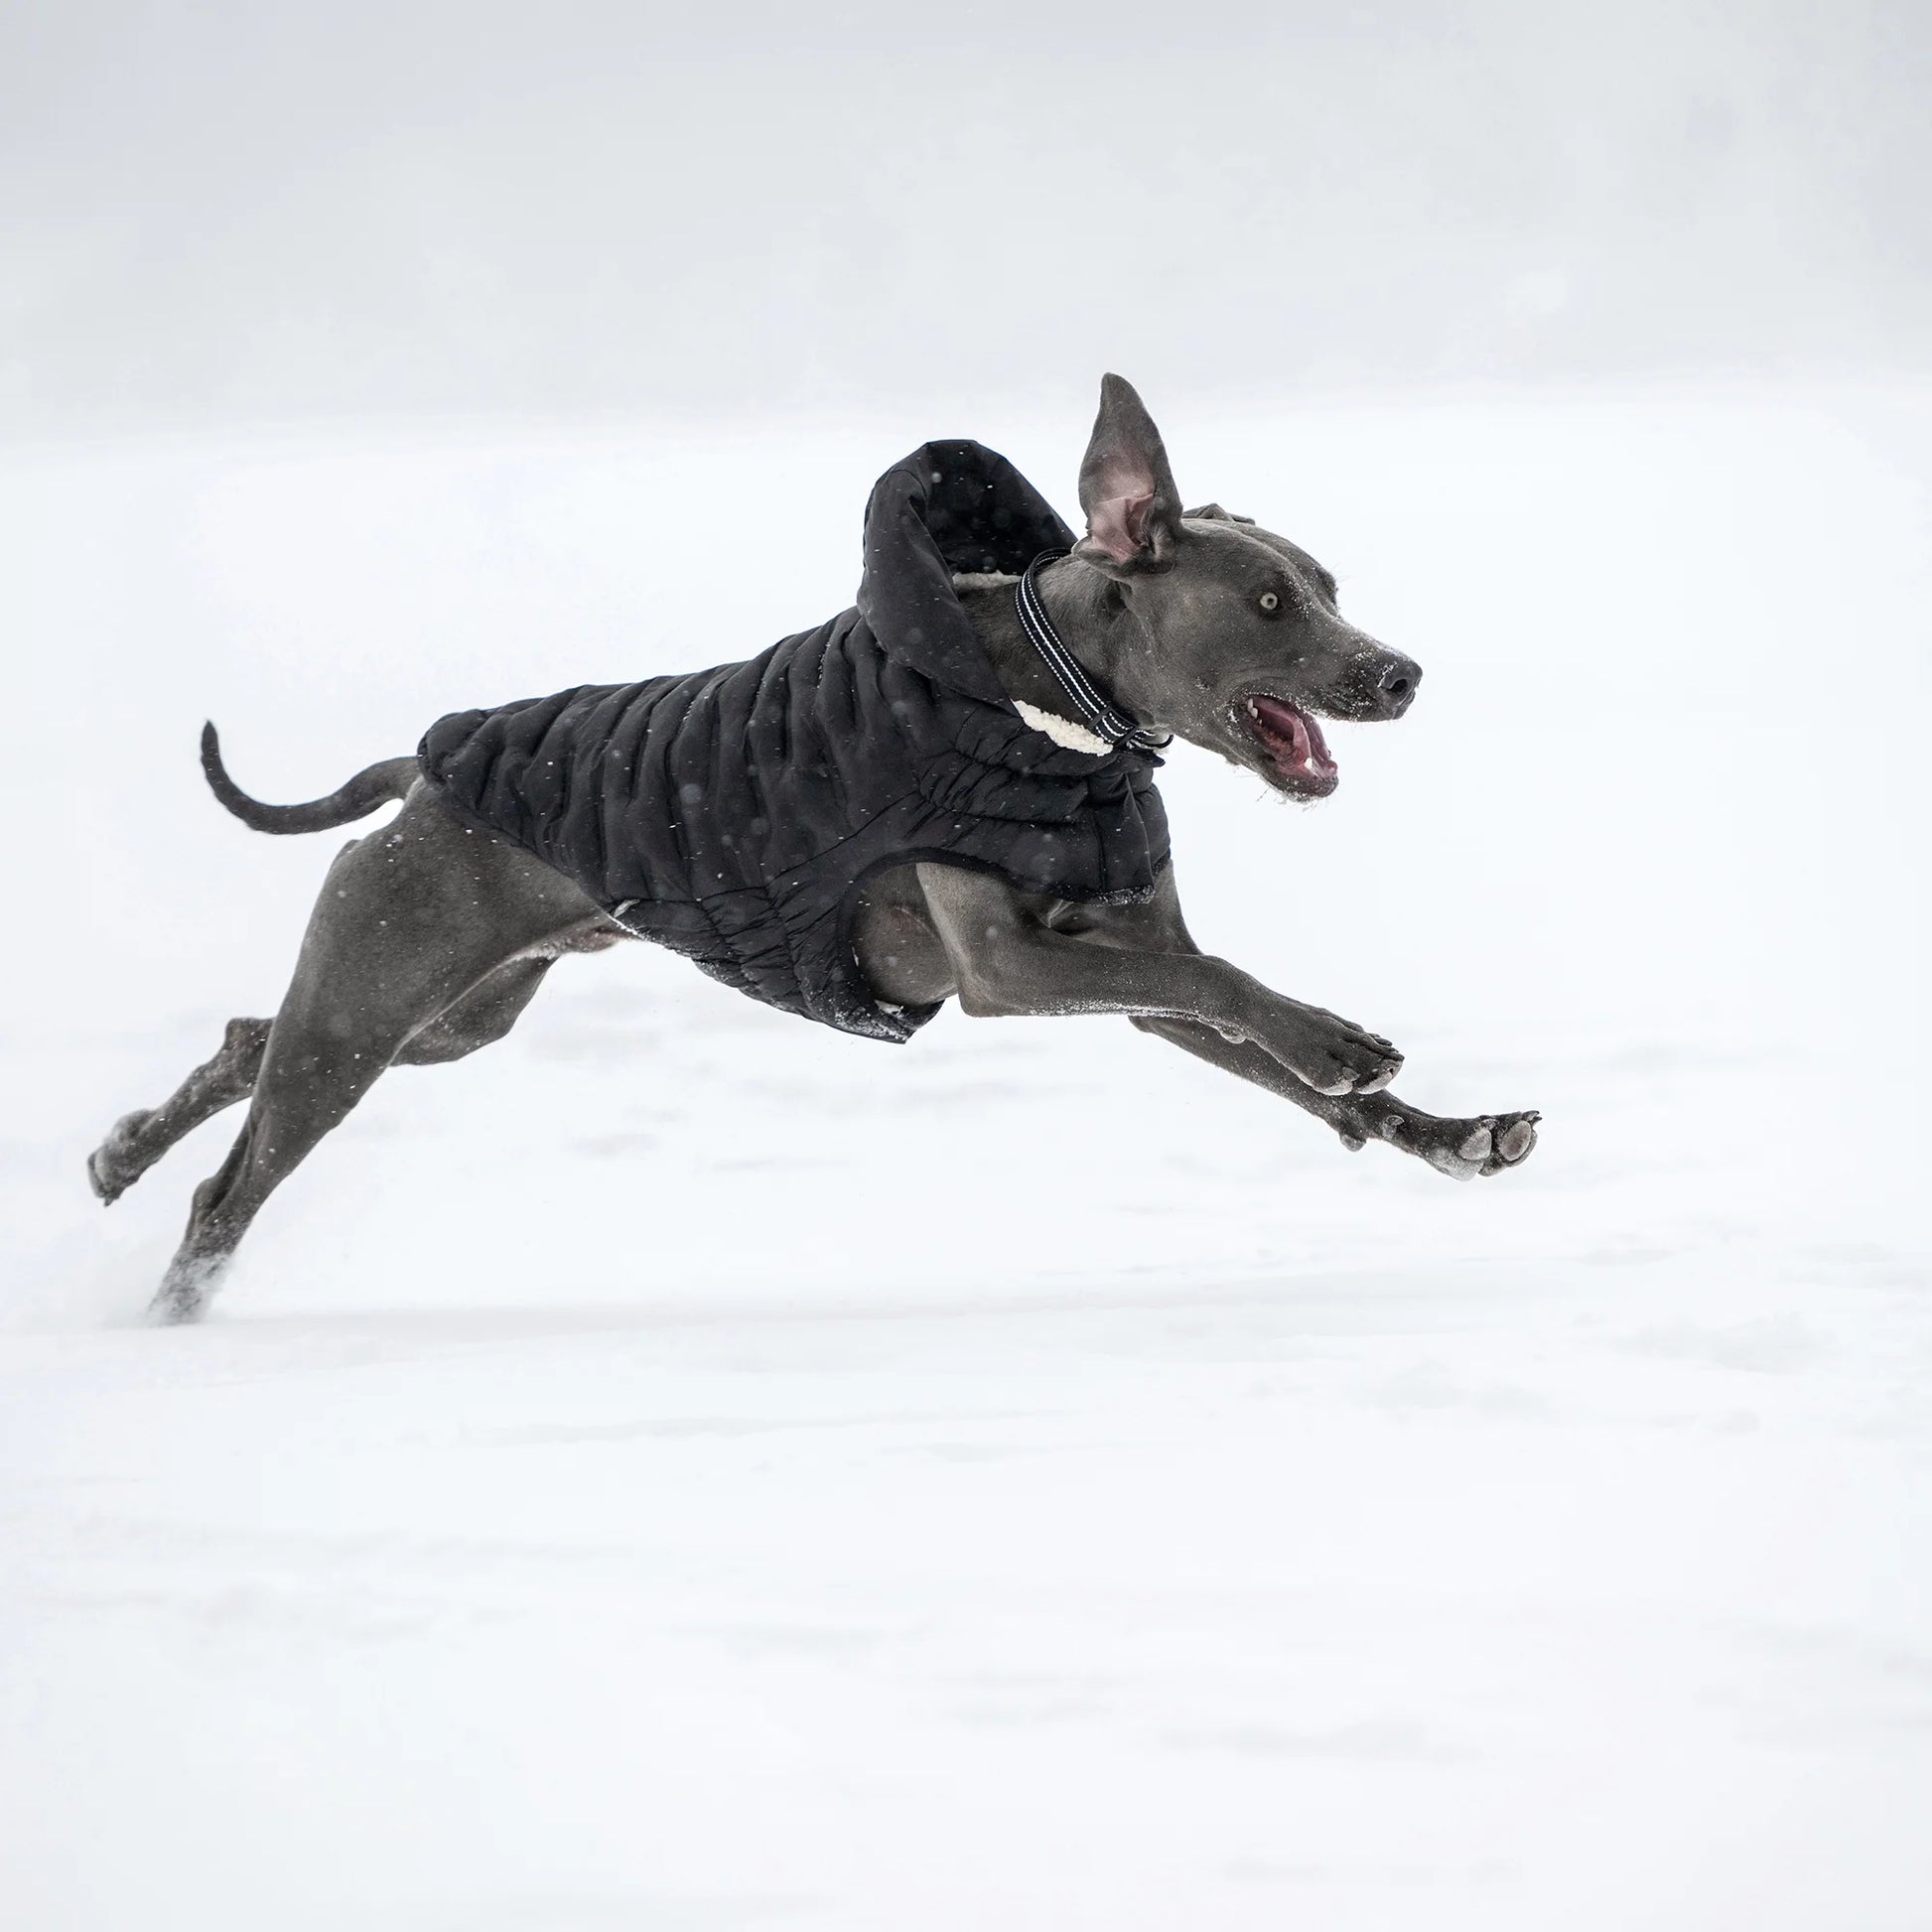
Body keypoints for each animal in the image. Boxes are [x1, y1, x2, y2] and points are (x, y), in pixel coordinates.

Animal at [90, 372, 1538, 1328]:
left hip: (450, 1008)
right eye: (1271, 601)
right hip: (381, 993)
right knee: (232, 1184)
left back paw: (122, 1148)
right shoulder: (1015, 967)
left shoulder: (1117, 955)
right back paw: (170, 1315)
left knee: (249, 1037)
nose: (1400, 672)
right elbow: (1231, 985)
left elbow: (1255, 1043)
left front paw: (1445, 1133)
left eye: (1331, 585)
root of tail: (426, 777)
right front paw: (1336, 1037)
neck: (1056, 705)